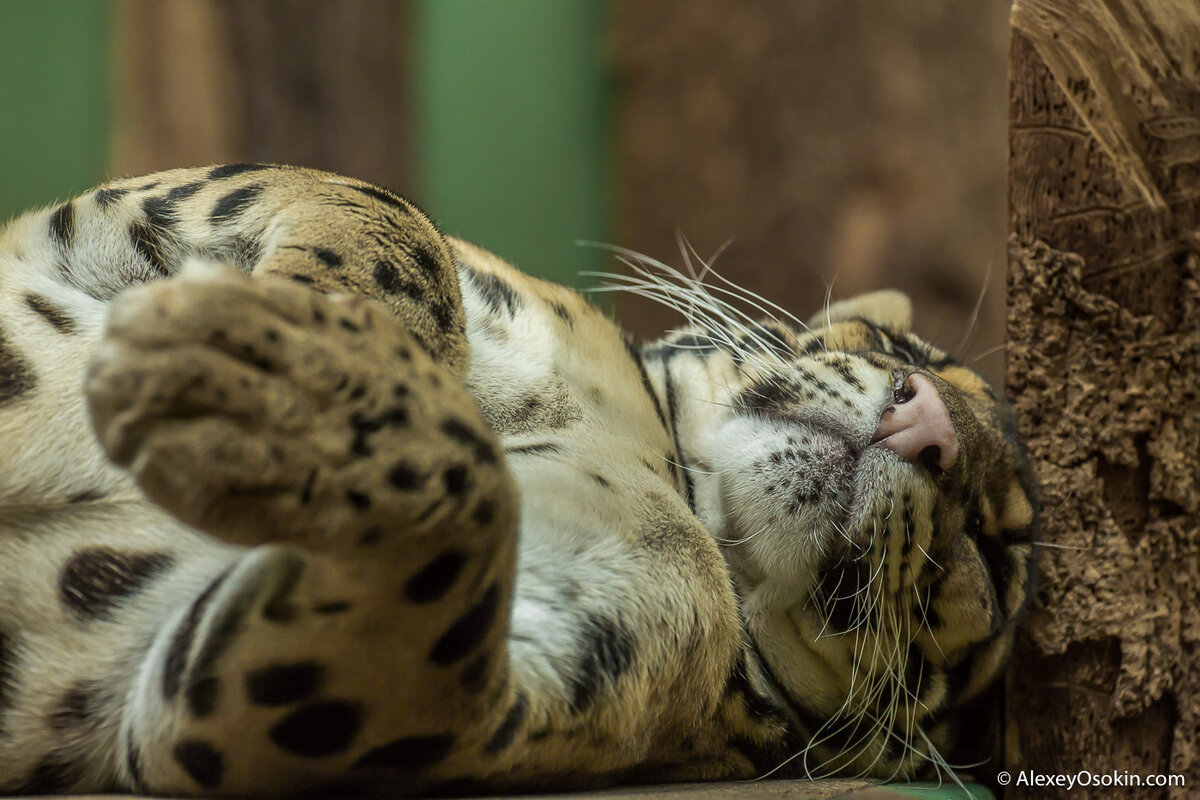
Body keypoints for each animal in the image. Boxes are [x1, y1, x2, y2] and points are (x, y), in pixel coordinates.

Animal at [0, 164, 1036, 796]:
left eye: (992, 551)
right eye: (906, 351)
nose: (931, 426)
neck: (662, 462)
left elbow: (474, 494)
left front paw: (289, 395)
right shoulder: (80, 224)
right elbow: (382, 213)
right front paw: (300, 335)